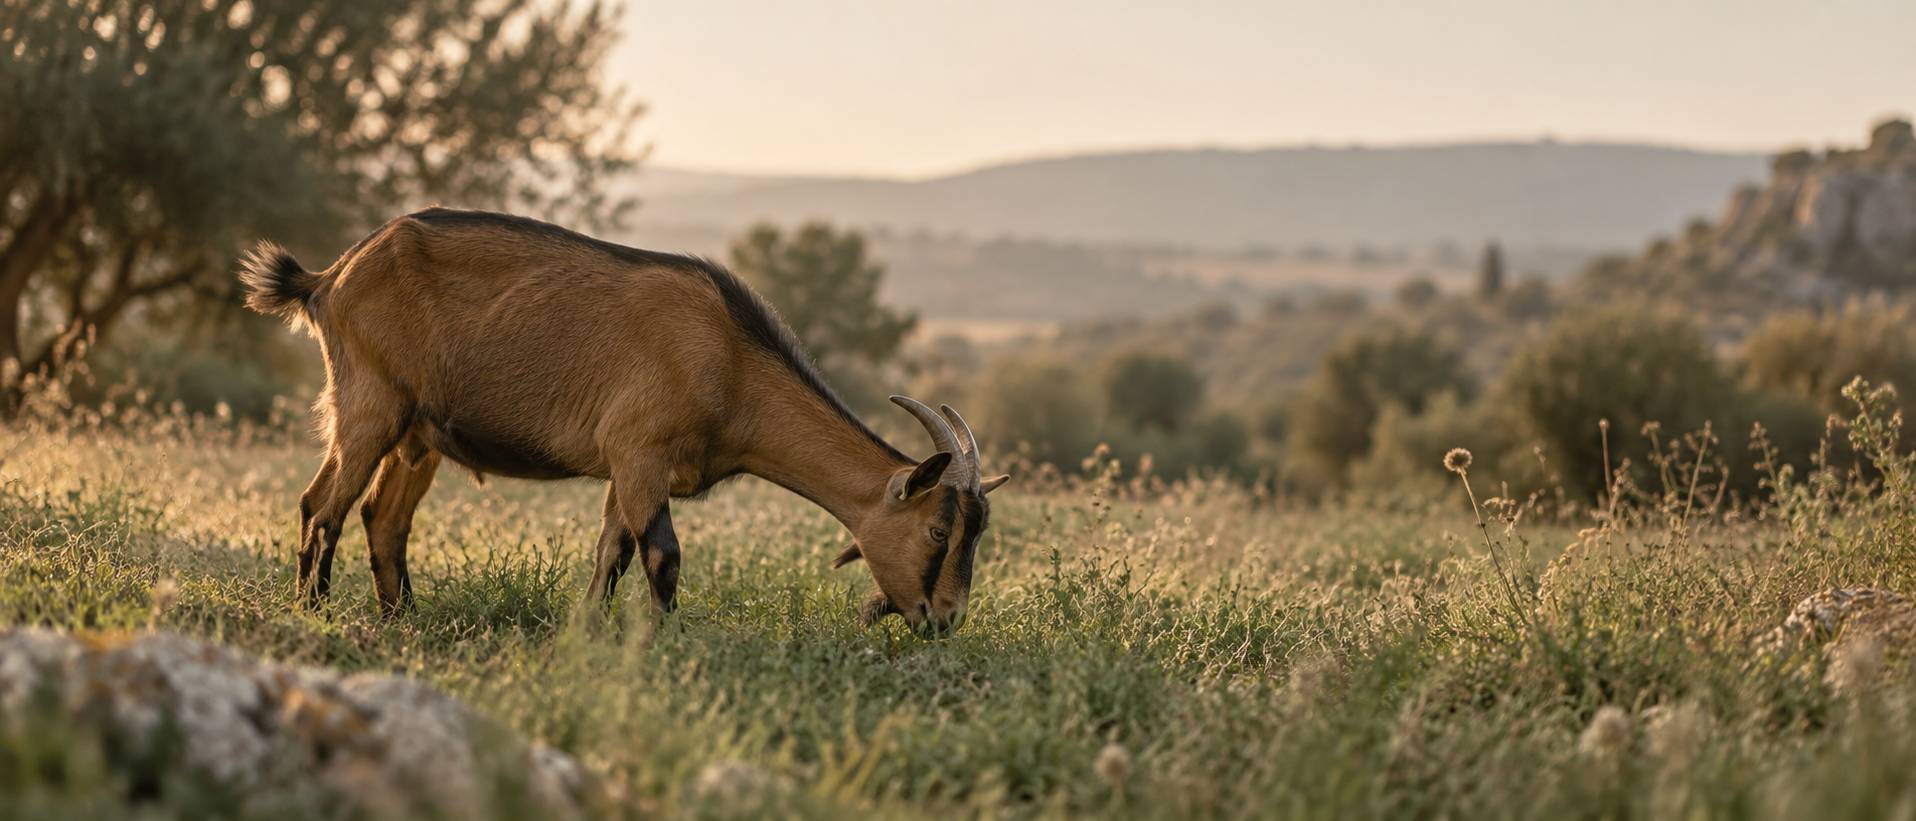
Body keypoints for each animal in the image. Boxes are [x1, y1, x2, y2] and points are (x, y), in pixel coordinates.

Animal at [238, 208, 1008, 636]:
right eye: (939, 531)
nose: (945, 620)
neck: (731, 360)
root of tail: (329, 277)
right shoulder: (640, 450)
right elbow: (662, 554)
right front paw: (665, 646)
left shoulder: (628, 466)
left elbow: (610, 551)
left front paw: (585, 634)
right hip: (370, 403)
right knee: (324, 507)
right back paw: (315, 613)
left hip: (418, 434)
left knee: (379, 516)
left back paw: (403, 618)